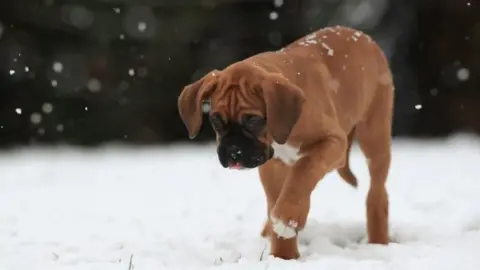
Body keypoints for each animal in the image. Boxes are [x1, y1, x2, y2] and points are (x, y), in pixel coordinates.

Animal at [176, 25, 394, 260]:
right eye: (216, 120)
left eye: (253, 120)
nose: (234, 153)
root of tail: (360, 34)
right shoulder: (272, 165)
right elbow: (279, 195)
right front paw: (283, 255)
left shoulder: (332, 141)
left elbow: (303, 173)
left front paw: (286, 221)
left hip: (374, 136)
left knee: (377, 194)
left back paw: (378, 240)